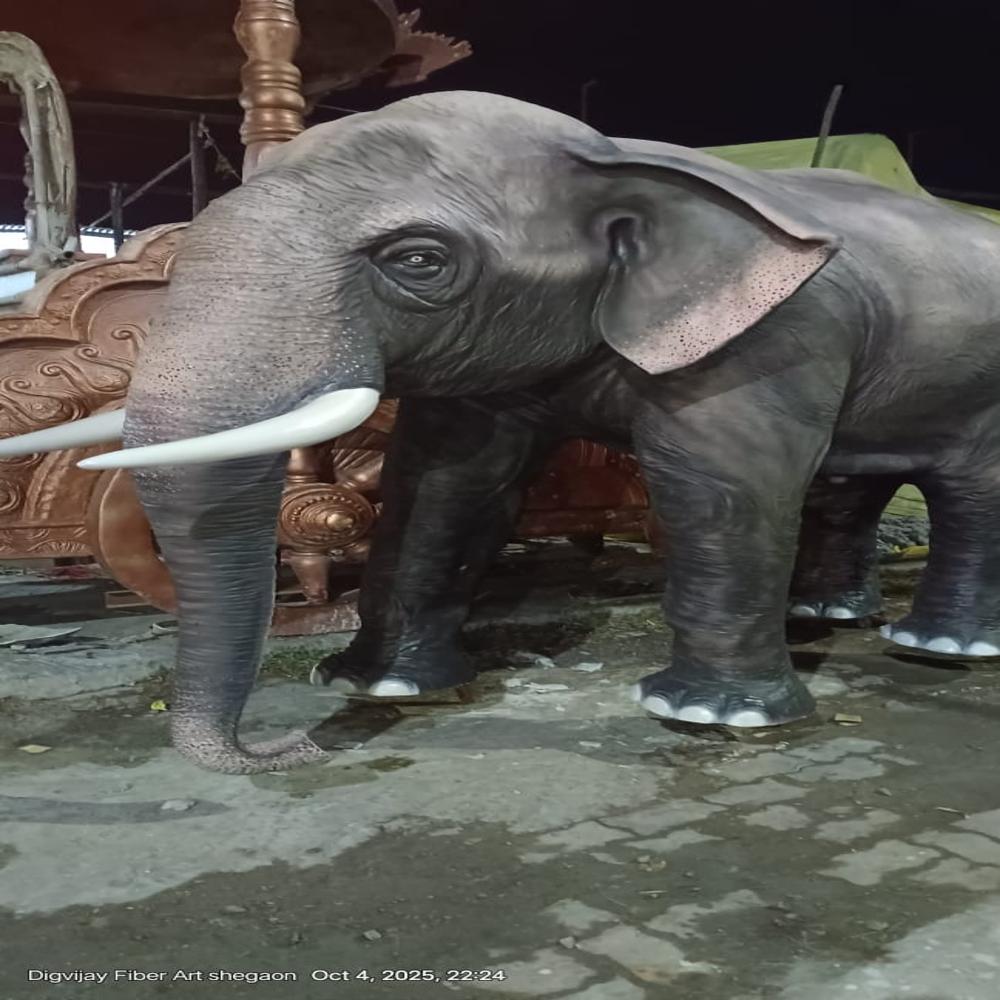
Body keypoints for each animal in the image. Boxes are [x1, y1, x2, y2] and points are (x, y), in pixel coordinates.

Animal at [4, 90, 1000, 774]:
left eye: (418, 261)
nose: (291, 748)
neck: (618, 155)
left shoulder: (771, 338)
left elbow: (722, 492)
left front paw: (711, 720)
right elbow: (444, 482)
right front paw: (381, 687)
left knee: (965, 492)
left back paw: (942, 650)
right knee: (852, 484)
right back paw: (833, 619)